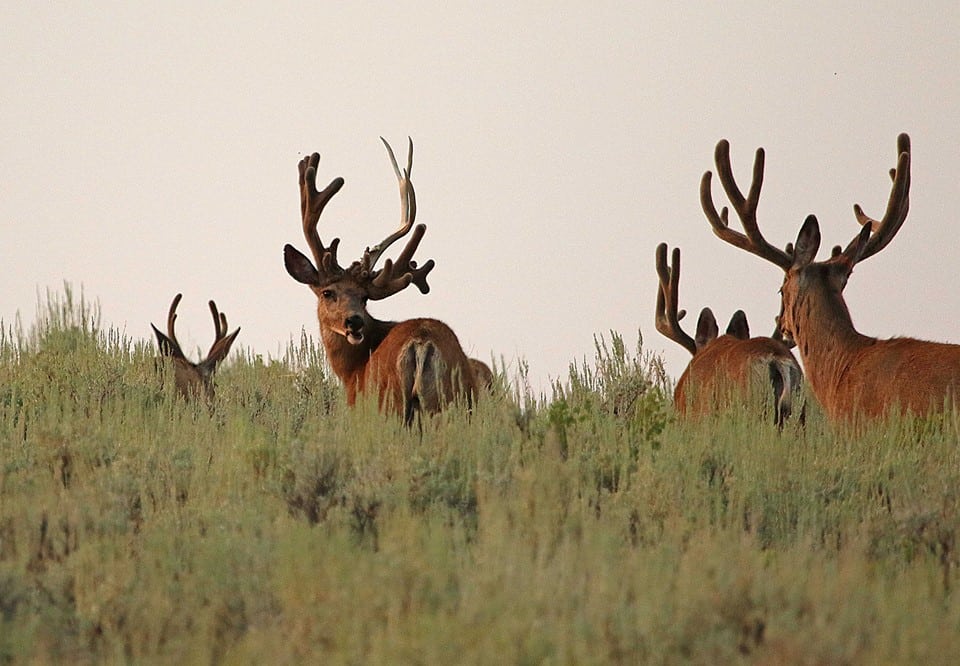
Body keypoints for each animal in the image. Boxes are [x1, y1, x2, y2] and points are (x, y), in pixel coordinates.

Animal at [284, 137, 480, 422]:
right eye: (328, 293)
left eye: (364, 298)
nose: (354, 321)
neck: (352, 370)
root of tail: (421, 342)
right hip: (447, 403)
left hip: (390, 405)